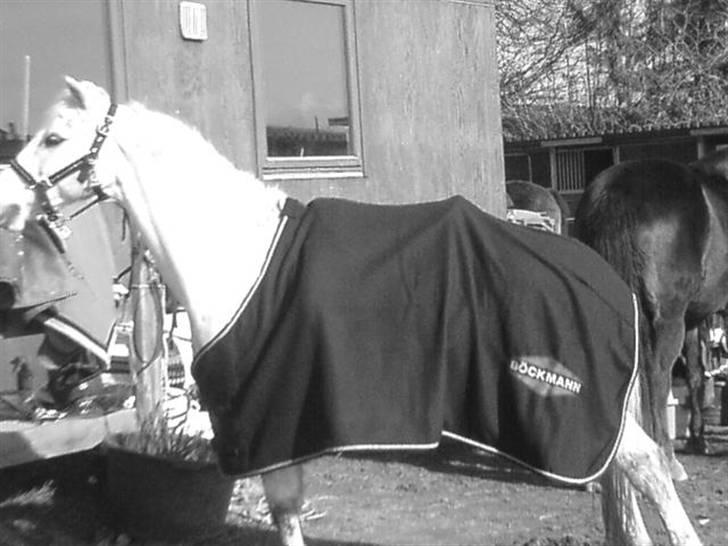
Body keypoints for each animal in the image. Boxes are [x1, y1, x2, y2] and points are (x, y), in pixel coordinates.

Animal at [0, 77, 701, 546]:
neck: (241, 258)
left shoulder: (270, 428)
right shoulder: (279, 442)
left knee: (647, 469)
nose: (7, 201)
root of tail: (597, 269)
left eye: (55, 137)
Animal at [574, 151, 728, 481]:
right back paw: (668, 459)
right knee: (658, 377)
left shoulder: (694, 318)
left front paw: (698, 438)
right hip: (667, 319)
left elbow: (695, 374)